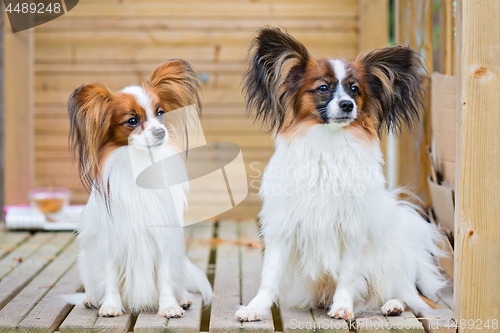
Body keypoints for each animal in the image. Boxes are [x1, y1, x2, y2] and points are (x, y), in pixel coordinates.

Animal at [67, 59, 212, 316]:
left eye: (160, 113)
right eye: (132, 121)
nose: (160, 132)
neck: (140, 162)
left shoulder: (163, 238)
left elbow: (165, 276)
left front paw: (169, 306)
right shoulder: (109, 240)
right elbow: (110, 276)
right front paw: (111, 305)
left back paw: (183, 297)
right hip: (86, 259)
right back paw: (92, 299)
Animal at [235, 28, 446, 322]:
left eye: (355, 90)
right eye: (323, 88)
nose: (347, 105)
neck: (328, 145)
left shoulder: (352, 229)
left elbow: (348, 273)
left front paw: (343, 306)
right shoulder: (284, 227)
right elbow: (270, 275)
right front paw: (256, 308)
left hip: (389, 262)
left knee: (408, 295)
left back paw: (393, 305)